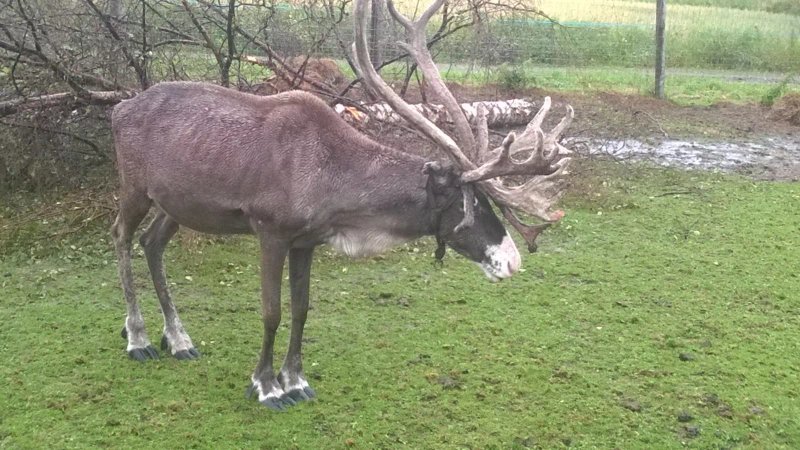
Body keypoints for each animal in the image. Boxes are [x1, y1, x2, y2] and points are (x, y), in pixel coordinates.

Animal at [110, 0, 574, 412]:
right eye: (470, 203)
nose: (512, 260)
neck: (335, 186)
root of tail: (119, 106)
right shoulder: (269, 230)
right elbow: (271, 312)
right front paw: (266, 386)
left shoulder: (305, 240)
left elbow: (301, 309)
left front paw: (296, 381)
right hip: (134, 187)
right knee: (121, 236)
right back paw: (139, 339)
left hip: (176, 203)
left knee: (152, 243)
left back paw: (179, 340)